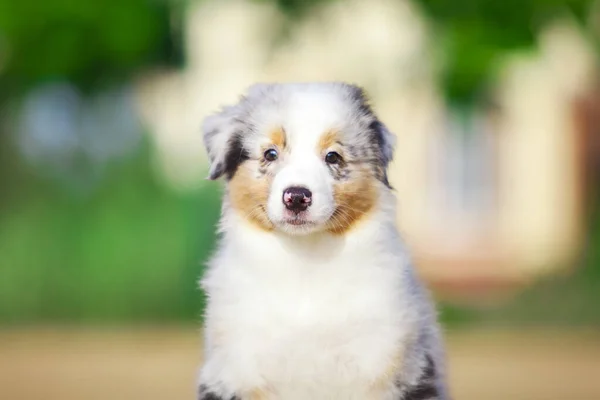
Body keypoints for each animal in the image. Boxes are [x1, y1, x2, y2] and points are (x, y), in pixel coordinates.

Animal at [199, 82, 448, 400]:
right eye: (270, 153)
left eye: (333, 157)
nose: (296, 197)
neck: (306, 261)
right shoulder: (237, 369)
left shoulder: (384, 361)